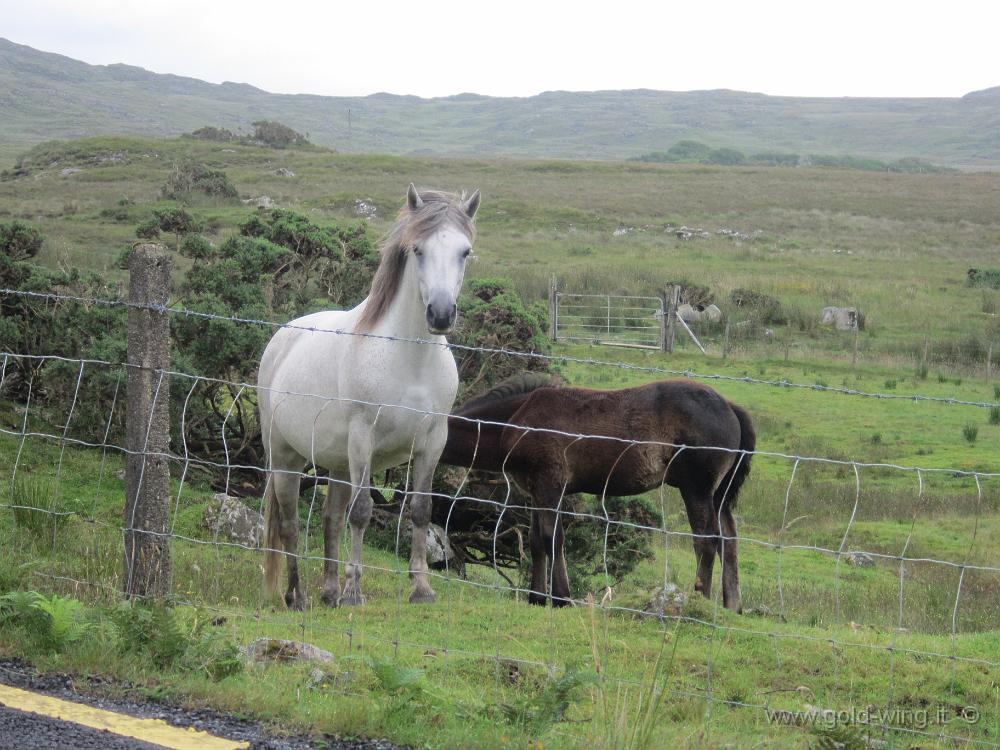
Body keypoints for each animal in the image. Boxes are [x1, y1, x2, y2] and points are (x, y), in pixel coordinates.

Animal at [262, 184, 480, 612]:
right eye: (417, 250)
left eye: (464, 251)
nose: (441, 314)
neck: (409, 359)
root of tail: (281, 338)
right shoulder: (364, 437)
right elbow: (361, 512)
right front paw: (353, 593)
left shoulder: (433, 442)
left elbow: (421, 511)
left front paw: (421, 588)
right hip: (285, 457)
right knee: (290, 523)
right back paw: (297, 595)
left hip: (337, 463)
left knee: (330, 519)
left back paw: (328, 591)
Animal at [442, 374, 752, 612]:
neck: (517, 420)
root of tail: (730, 407)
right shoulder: (535, 492)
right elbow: (535, 542)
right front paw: (536, 598)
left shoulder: (550, 486)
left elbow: (552, 538)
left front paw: (562, 598)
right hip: (718, 495)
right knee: (729, 540)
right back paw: (732, 606)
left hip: (696, 489)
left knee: (707, 540)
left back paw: (699, 600)